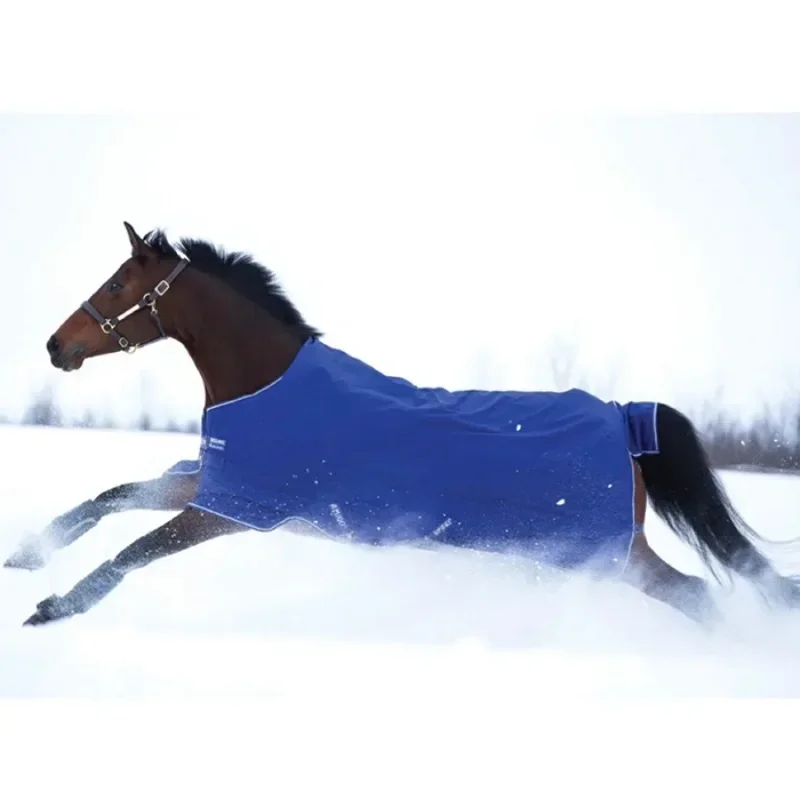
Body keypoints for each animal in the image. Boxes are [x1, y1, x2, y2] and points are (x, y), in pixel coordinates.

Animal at [7, 221, 800, 628]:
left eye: (118, 284)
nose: (55, 346)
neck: (266, 385)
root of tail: (628, 420)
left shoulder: (233, 508)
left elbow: (134, 550)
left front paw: (54, 608)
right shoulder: (217, 483)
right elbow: (114, 496)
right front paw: (27, 553)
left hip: (613, 555)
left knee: (697, 596)